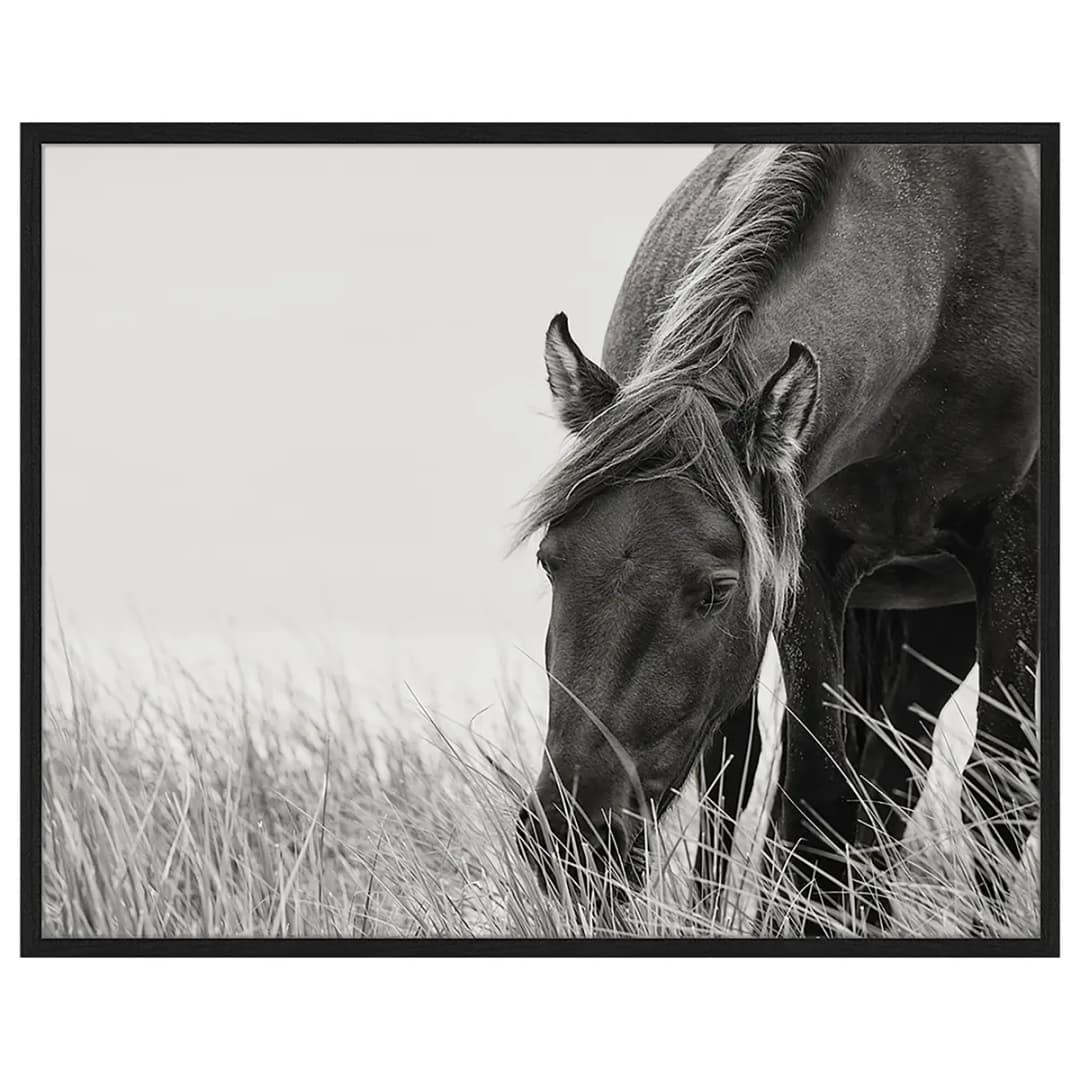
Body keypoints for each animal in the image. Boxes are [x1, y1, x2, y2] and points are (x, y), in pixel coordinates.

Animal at [514, 143, 1040, 932]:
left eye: (717, 589)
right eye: (551, 562)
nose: (569, 836)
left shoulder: (1019, 554)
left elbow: (1000, 787)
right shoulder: (810, 562)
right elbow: (814, 791)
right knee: (752, 772)